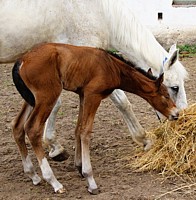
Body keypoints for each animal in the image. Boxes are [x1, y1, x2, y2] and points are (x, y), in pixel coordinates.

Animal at [0, 0, 188, 159]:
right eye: (174, 88)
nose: (181, 117)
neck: (98, 11)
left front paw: (54, 146)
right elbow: (122, 101)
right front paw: (144, 139)